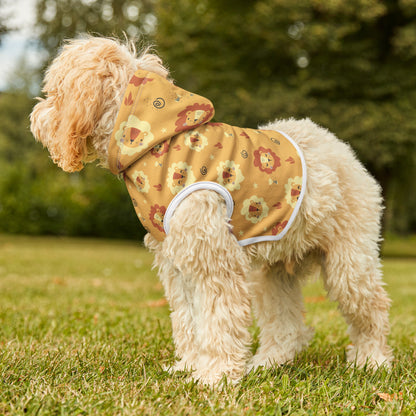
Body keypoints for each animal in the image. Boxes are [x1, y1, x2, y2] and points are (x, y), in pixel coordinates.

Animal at [30, 37, 392, 386]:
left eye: (54, 92)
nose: (35, 117)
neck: (154, 141)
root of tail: (340, 148)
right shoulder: (178, 262)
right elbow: (189, 320)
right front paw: (190, 366)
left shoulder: (214, 260)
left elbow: (218, 320)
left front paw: (215, 376)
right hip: (272, 273)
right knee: (287, 327)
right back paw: (267, 362)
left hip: (349, 263)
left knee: (373, 309)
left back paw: (372, 360)